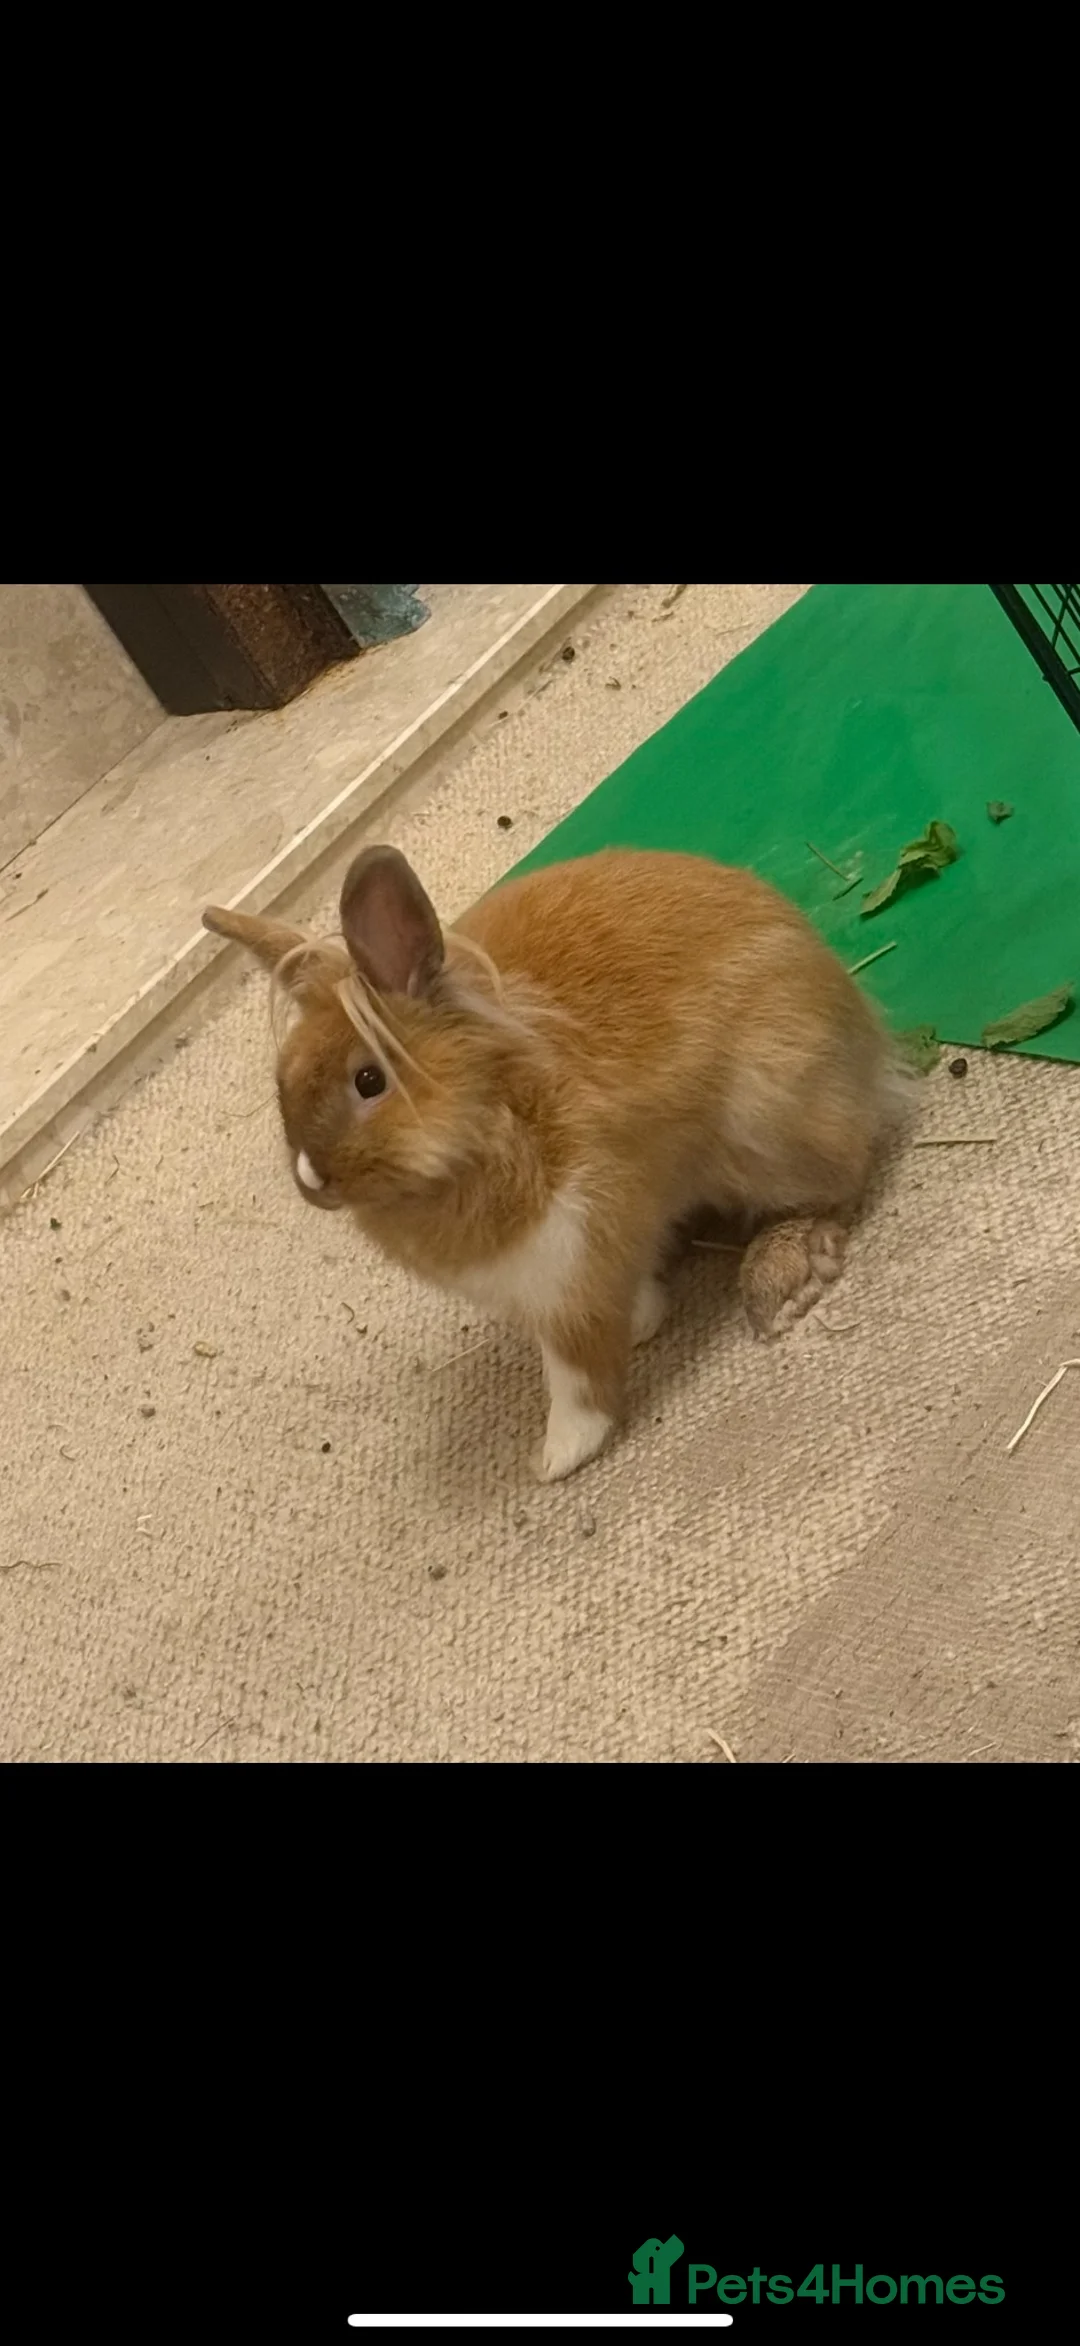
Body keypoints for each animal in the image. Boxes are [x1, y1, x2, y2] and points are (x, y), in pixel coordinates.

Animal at [203, 845, 909, 1482]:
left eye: (369, 1081)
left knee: (840, 1182)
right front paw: (645, 1318)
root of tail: (865, 1041)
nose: (311, 1179)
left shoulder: (573, 1262)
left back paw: (783, 1272)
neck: (494, 1115)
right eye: (282, 1085)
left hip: (772, 1118)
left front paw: (560, 1457)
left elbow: (576, 1371)